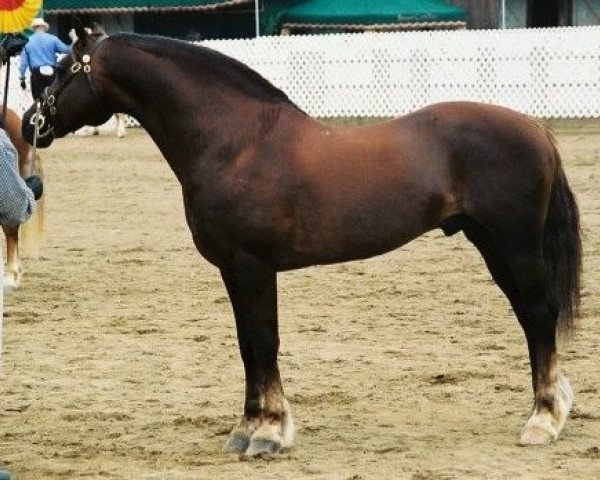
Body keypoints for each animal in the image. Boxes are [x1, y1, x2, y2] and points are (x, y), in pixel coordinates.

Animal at [22, 26, 580, 454]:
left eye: (62, 69)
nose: (32, 123)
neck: (237, 142)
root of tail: (534, 127)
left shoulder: (252, 265)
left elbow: (264, 341)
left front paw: (268, 433)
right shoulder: (233, 270)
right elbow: (247, 345)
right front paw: (248, 427)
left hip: (515, 247)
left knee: (539, 316)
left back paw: (542, 420)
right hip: (492, 246)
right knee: (530, 319)